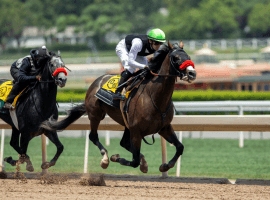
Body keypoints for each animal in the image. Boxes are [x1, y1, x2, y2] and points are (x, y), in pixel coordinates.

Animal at [41, 41, 196, 173]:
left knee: (124, 143)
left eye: (188, 56)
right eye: (176, 58)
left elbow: (180, 147)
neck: (154, 97)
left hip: (126, 124)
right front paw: (115, 158)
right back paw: (105, 159)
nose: (192, 73)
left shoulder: (164, 127)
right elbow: (134, 161)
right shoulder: (136, 131)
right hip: (96, 115)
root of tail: (96, 81)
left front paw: (165, 166)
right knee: (93, 136)